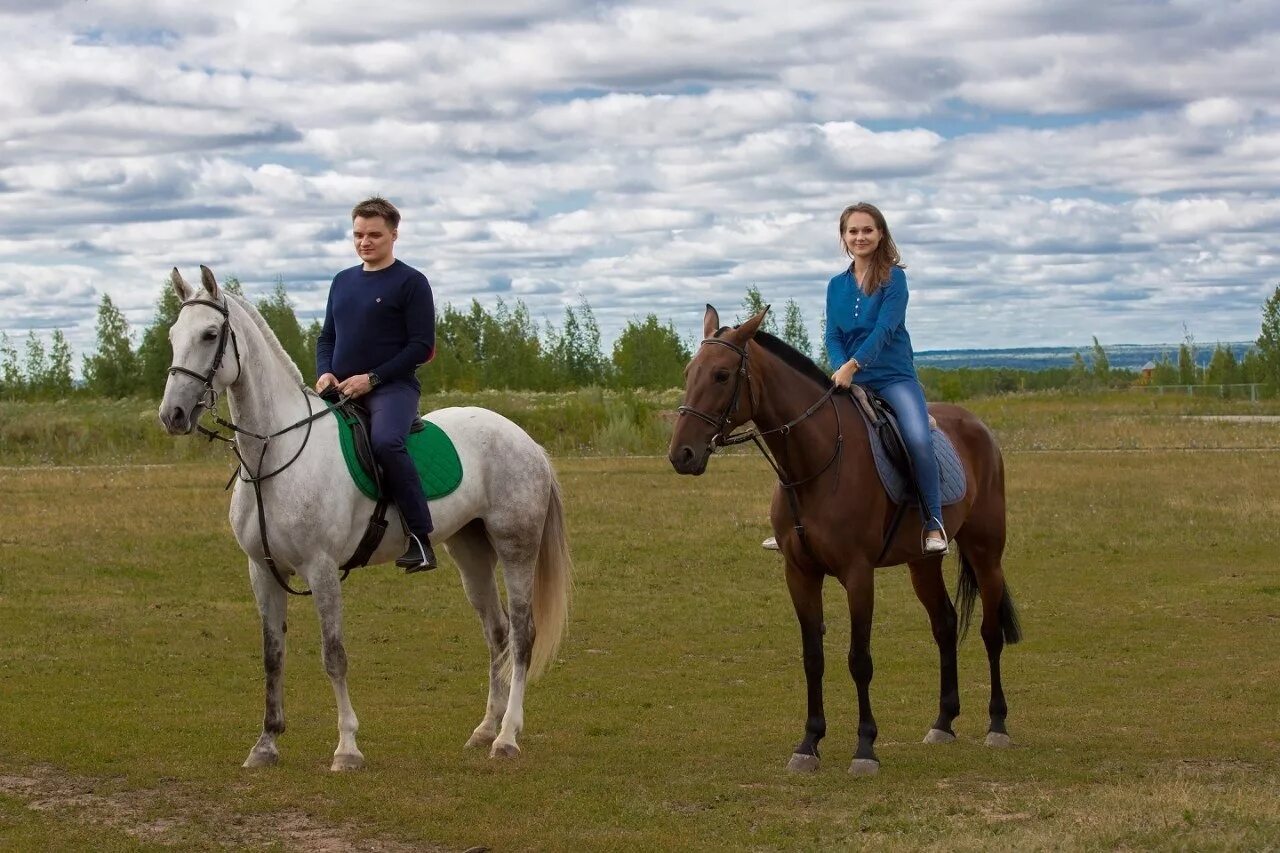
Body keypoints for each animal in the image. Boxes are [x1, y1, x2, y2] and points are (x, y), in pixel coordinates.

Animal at [157, 267, 573, 768]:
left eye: (209, 334)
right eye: (173, 336)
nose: (173, 414)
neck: (274, 454)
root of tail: (526, 440)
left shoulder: (321, 569)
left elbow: (333, 655)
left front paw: (347, 748)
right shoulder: (263, 570)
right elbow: (272, 655)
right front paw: (266, 743)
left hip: (516, 548)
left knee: (523, 635)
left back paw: (507, 737)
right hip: (470, 552)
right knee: (498, 634)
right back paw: (484, 729)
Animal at [670, 307, 1018, 778]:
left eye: (722, 375)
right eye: (690, 373)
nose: (681, 454)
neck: (815, 462)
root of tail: (978, 426)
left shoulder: (858, 575)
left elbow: (859, 660)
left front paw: (864, 748)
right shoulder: (799, 574)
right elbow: (812, 657)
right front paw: (808, 743)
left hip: (986, 552)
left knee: (989, 632)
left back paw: (997, 724)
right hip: (922, 562)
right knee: (944, 625)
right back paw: (942, 722)